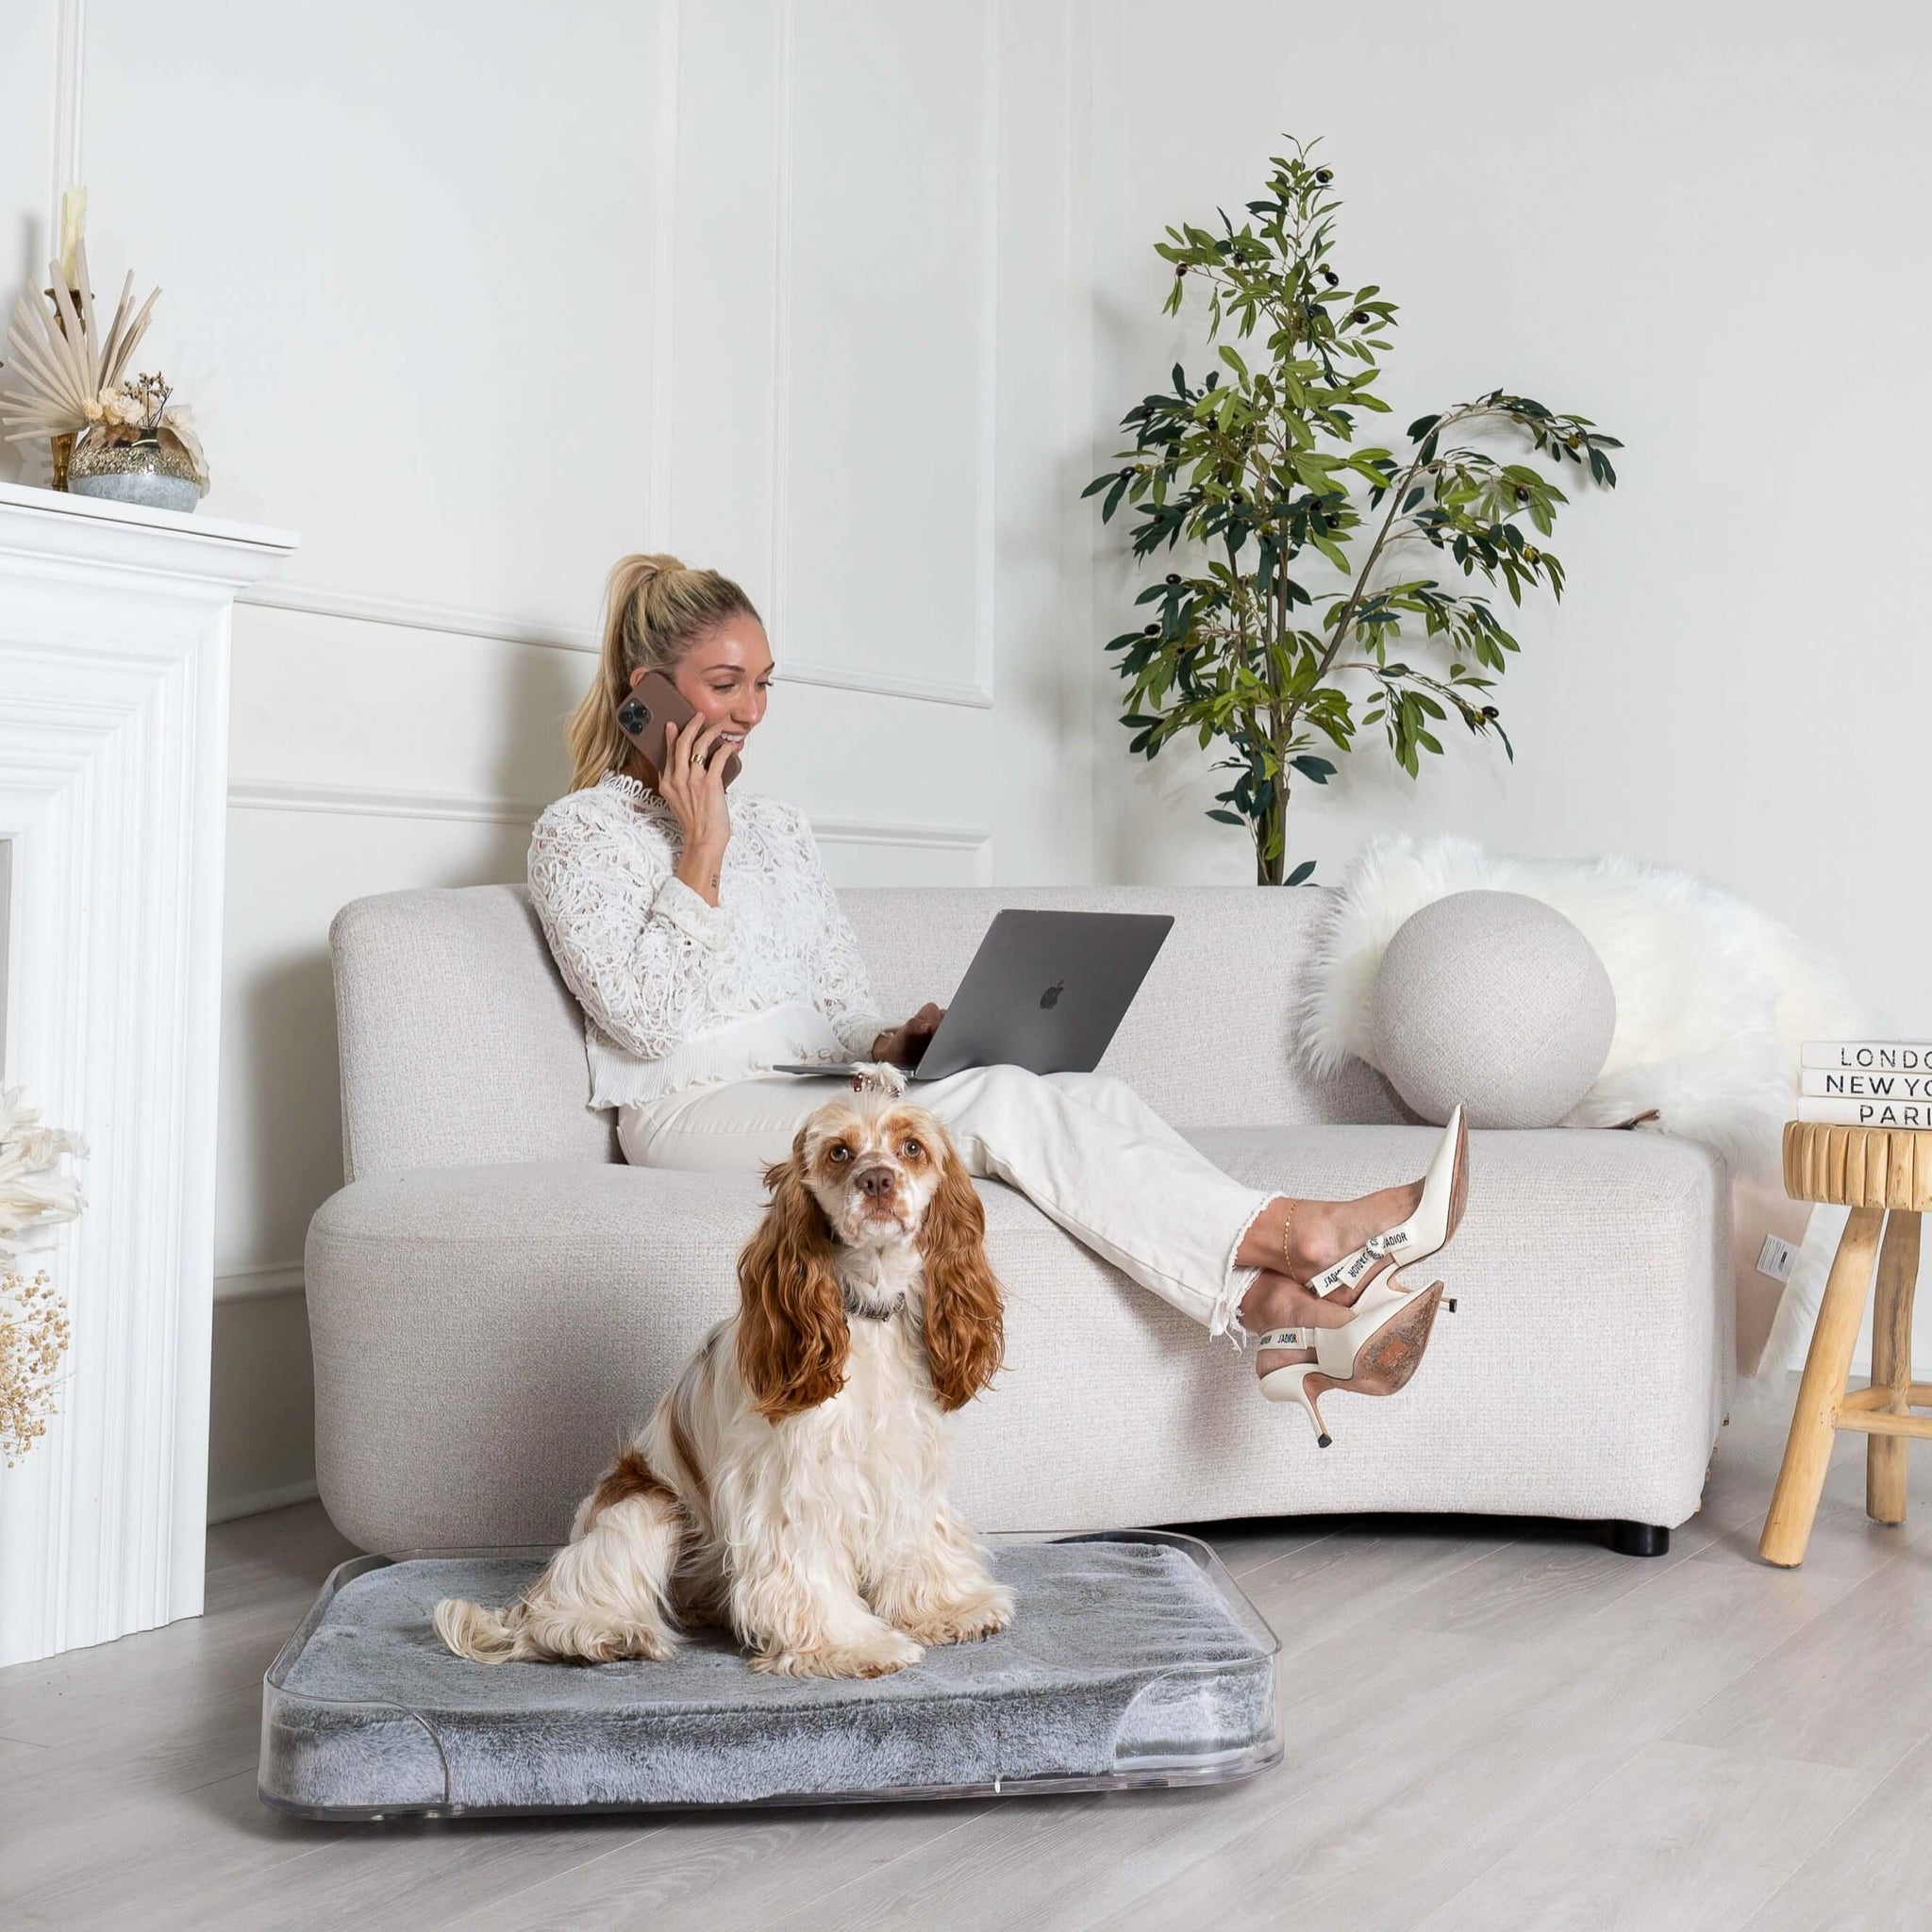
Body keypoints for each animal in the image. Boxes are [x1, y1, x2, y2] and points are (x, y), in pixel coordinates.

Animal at [434, 1066, 1012, 1684]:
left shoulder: (906, 1466)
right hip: (647, 1505)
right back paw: (606, 1634)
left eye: (912, 1148)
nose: (878, 1179)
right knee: (563, 1603)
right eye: (839, 1152)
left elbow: (918, 1543)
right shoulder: (790, 1488)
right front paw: (852, 1646)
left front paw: (949, 1609)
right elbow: (809, 1575)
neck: (867, 1309)